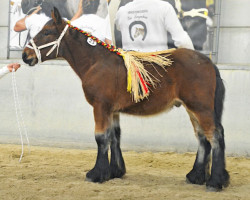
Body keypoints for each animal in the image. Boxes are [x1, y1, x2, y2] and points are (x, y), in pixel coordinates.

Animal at [22, 7, 229, 191]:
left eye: (47, 32)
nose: (25, 55)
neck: (96, 62)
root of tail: (209, 63)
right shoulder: (112, 111)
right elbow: (114, 137)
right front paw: (114, 172)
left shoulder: (100, 107)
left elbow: (101, 138)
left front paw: (96, 174)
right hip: (192, 109)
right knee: (202, 138)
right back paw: (196, 176)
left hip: (200, 108)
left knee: (214, 137)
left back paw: (214, 182)